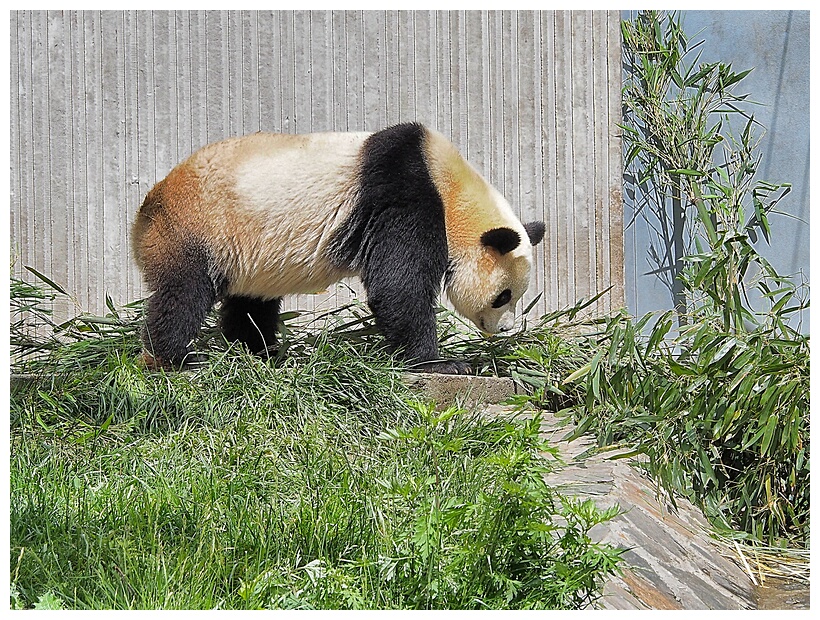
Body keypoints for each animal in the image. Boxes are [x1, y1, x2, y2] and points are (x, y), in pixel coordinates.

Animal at [131, 121, 544, 372]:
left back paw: (261, 355)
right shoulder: (403, 195)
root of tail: (145, 211)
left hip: (247, 250)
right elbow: (399, 285)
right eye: (503, 296)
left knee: (250, 304)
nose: (505, 329)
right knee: (183, 293)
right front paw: (439, 363)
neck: (452, 189)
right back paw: (174, 358)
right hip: (196, 227)